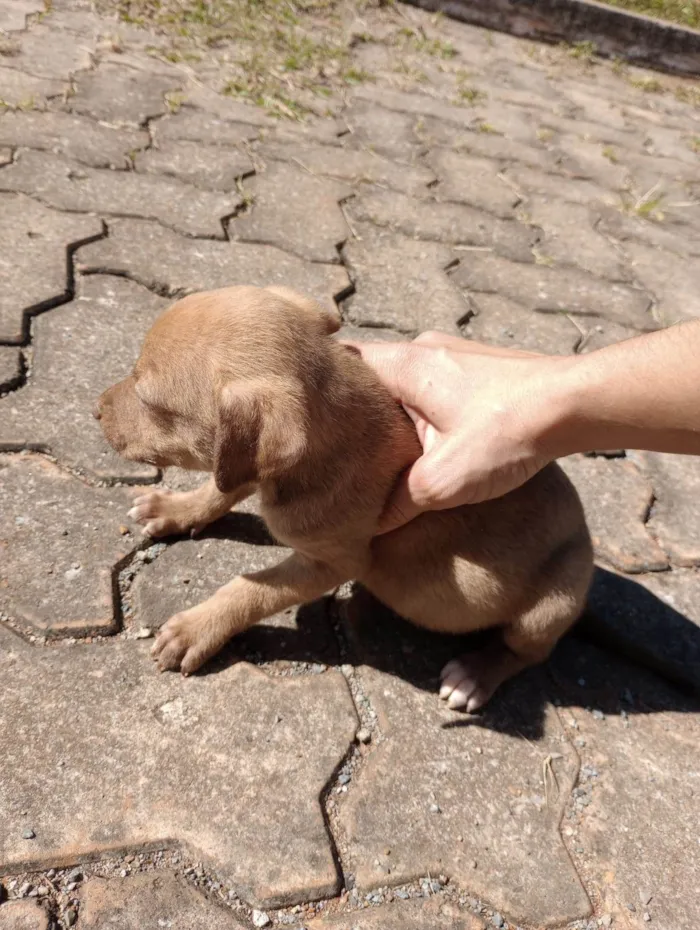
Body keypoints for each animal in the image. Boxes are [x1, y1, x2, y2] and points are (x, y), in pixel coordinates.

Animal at [97, 286, 592, 708]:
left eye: (148, 399)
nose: (95, 409)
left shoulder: (333, 562)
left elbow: (250, 588)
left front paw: (196, 629)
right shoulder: (245, 466)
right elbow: (219, 489)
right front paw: (174, 509)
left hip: (552, 604)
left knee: (526, 652)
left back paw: (474, 675)